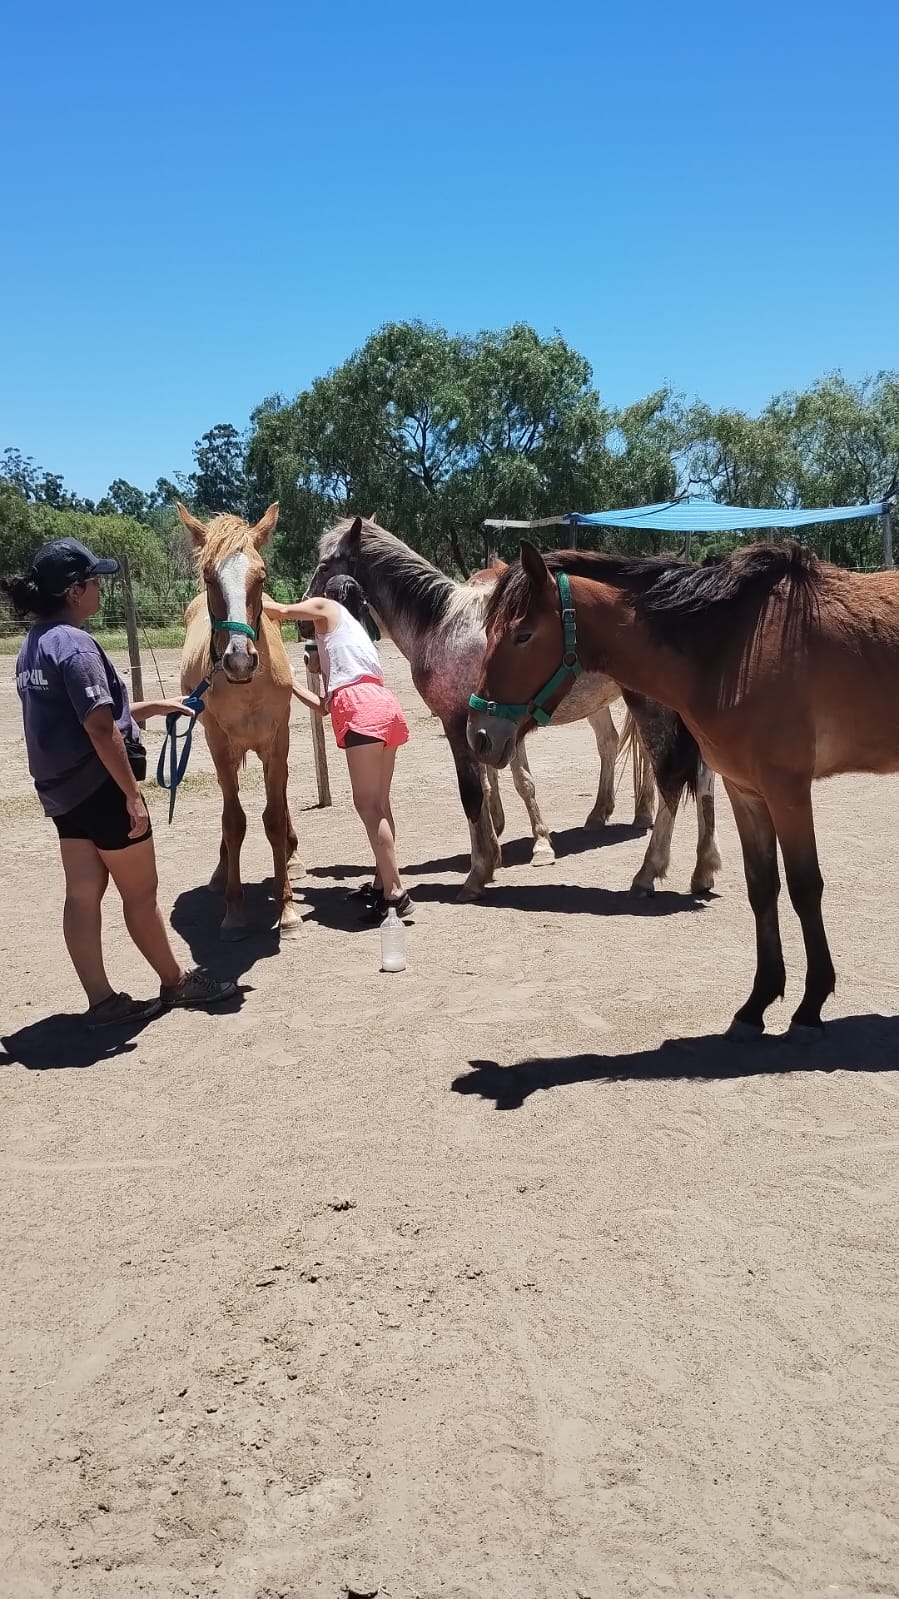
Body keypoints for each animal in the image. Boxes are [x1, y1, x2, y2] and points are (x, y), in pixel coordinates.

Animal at [176, 502, 301, 941]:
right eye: (209, 575)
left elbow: (274, 819)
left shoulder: (277, 743)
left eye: (260, 576)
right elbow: (233, 822)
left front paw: (287, 909)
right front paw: (233, 913)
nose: (240, 659)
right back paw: (220, 872)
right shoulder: (219, 745)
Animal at [305, 516, 721, 900]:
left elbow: (477, 792)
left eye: (324, 564)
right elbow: (496, 784)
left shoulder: (462, 724)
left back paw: (651, 866)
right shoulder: (490, 727)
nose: (307, 632)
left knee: (671, 774)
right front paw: (498, 851)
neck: (440, 626)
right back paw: (689, 859)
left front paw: (482, 871)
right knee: (674, 767)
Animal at [468, 537, 899, 1036]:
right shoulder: (745, 791)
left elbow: (804, 887)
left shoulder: (787, 790)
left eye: (522, 635)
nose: (480, 736)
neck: (737, 648)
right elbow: (762, 886)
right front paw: (758, 1002)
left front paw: (811, 1005)